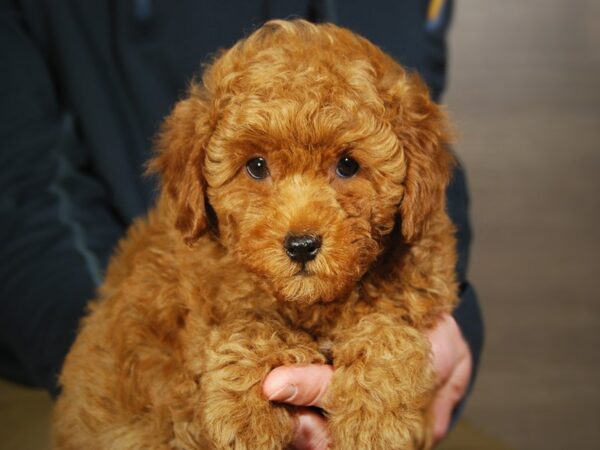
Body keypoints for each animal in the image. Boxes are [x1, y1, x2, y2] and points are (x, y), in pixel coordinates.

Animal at [54, 18, 458, 450]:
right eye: (257, 166)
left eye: (348, 165)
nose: (302, 246)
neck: (314, 305)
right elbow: (253, 324)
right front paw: (245, 416)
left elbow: (387, 329)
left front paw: (373, 420)